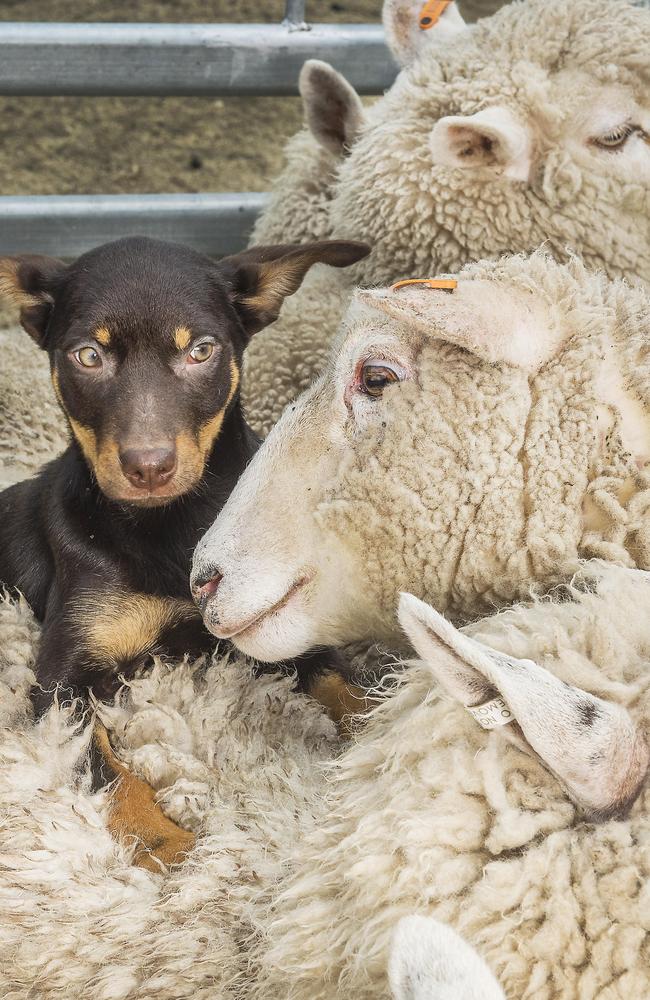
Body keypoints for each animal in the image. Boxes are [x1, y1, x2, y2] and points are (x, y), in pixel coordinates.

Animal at [0, 232, 368, 868]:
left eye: (201, 350)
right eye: (87, 357)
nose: (148, 468)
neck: (171, 527)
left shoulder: (270, 624)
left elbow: (341, 681)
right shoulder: (60, 684)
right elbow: (102, 762)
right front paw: (162, 839)